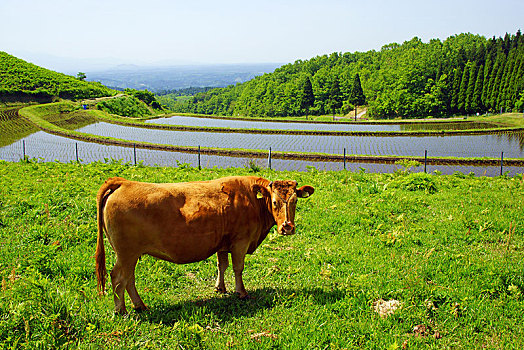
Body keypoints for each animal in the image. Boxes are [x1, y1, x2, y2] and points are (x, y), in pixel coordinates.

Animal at [95, 176, 314, 314]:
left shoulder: (223, 244)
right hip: (126, 253)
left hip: (130, 255)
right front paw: (241, 292)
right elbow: (238, 268)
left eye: (295, 201)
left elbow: (221, 265)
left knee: (129, 279)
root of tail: (123, 183)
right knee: (118, 278)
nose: (287, 227)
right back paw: (121, 309)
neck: (252, 200)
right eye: (275, 202)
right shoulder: (240, 242)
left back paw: (139, 305)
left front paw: (220, 288)